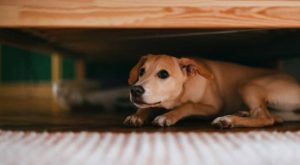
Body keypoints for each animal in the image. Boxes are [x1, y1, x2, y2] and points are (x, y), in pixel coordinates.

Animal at [123, 54, 300, 128]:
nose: (135, 90)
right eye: (141, 71)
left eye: (163, 74)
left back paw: (228, 120)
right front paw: (137, 115)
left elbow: (189, 105)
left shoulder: (214, 106)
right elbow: (148, 106)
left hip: (247, 84)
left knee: (265, 118)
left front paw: (168, 116)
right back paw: (241, 114)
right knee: (273, 118)